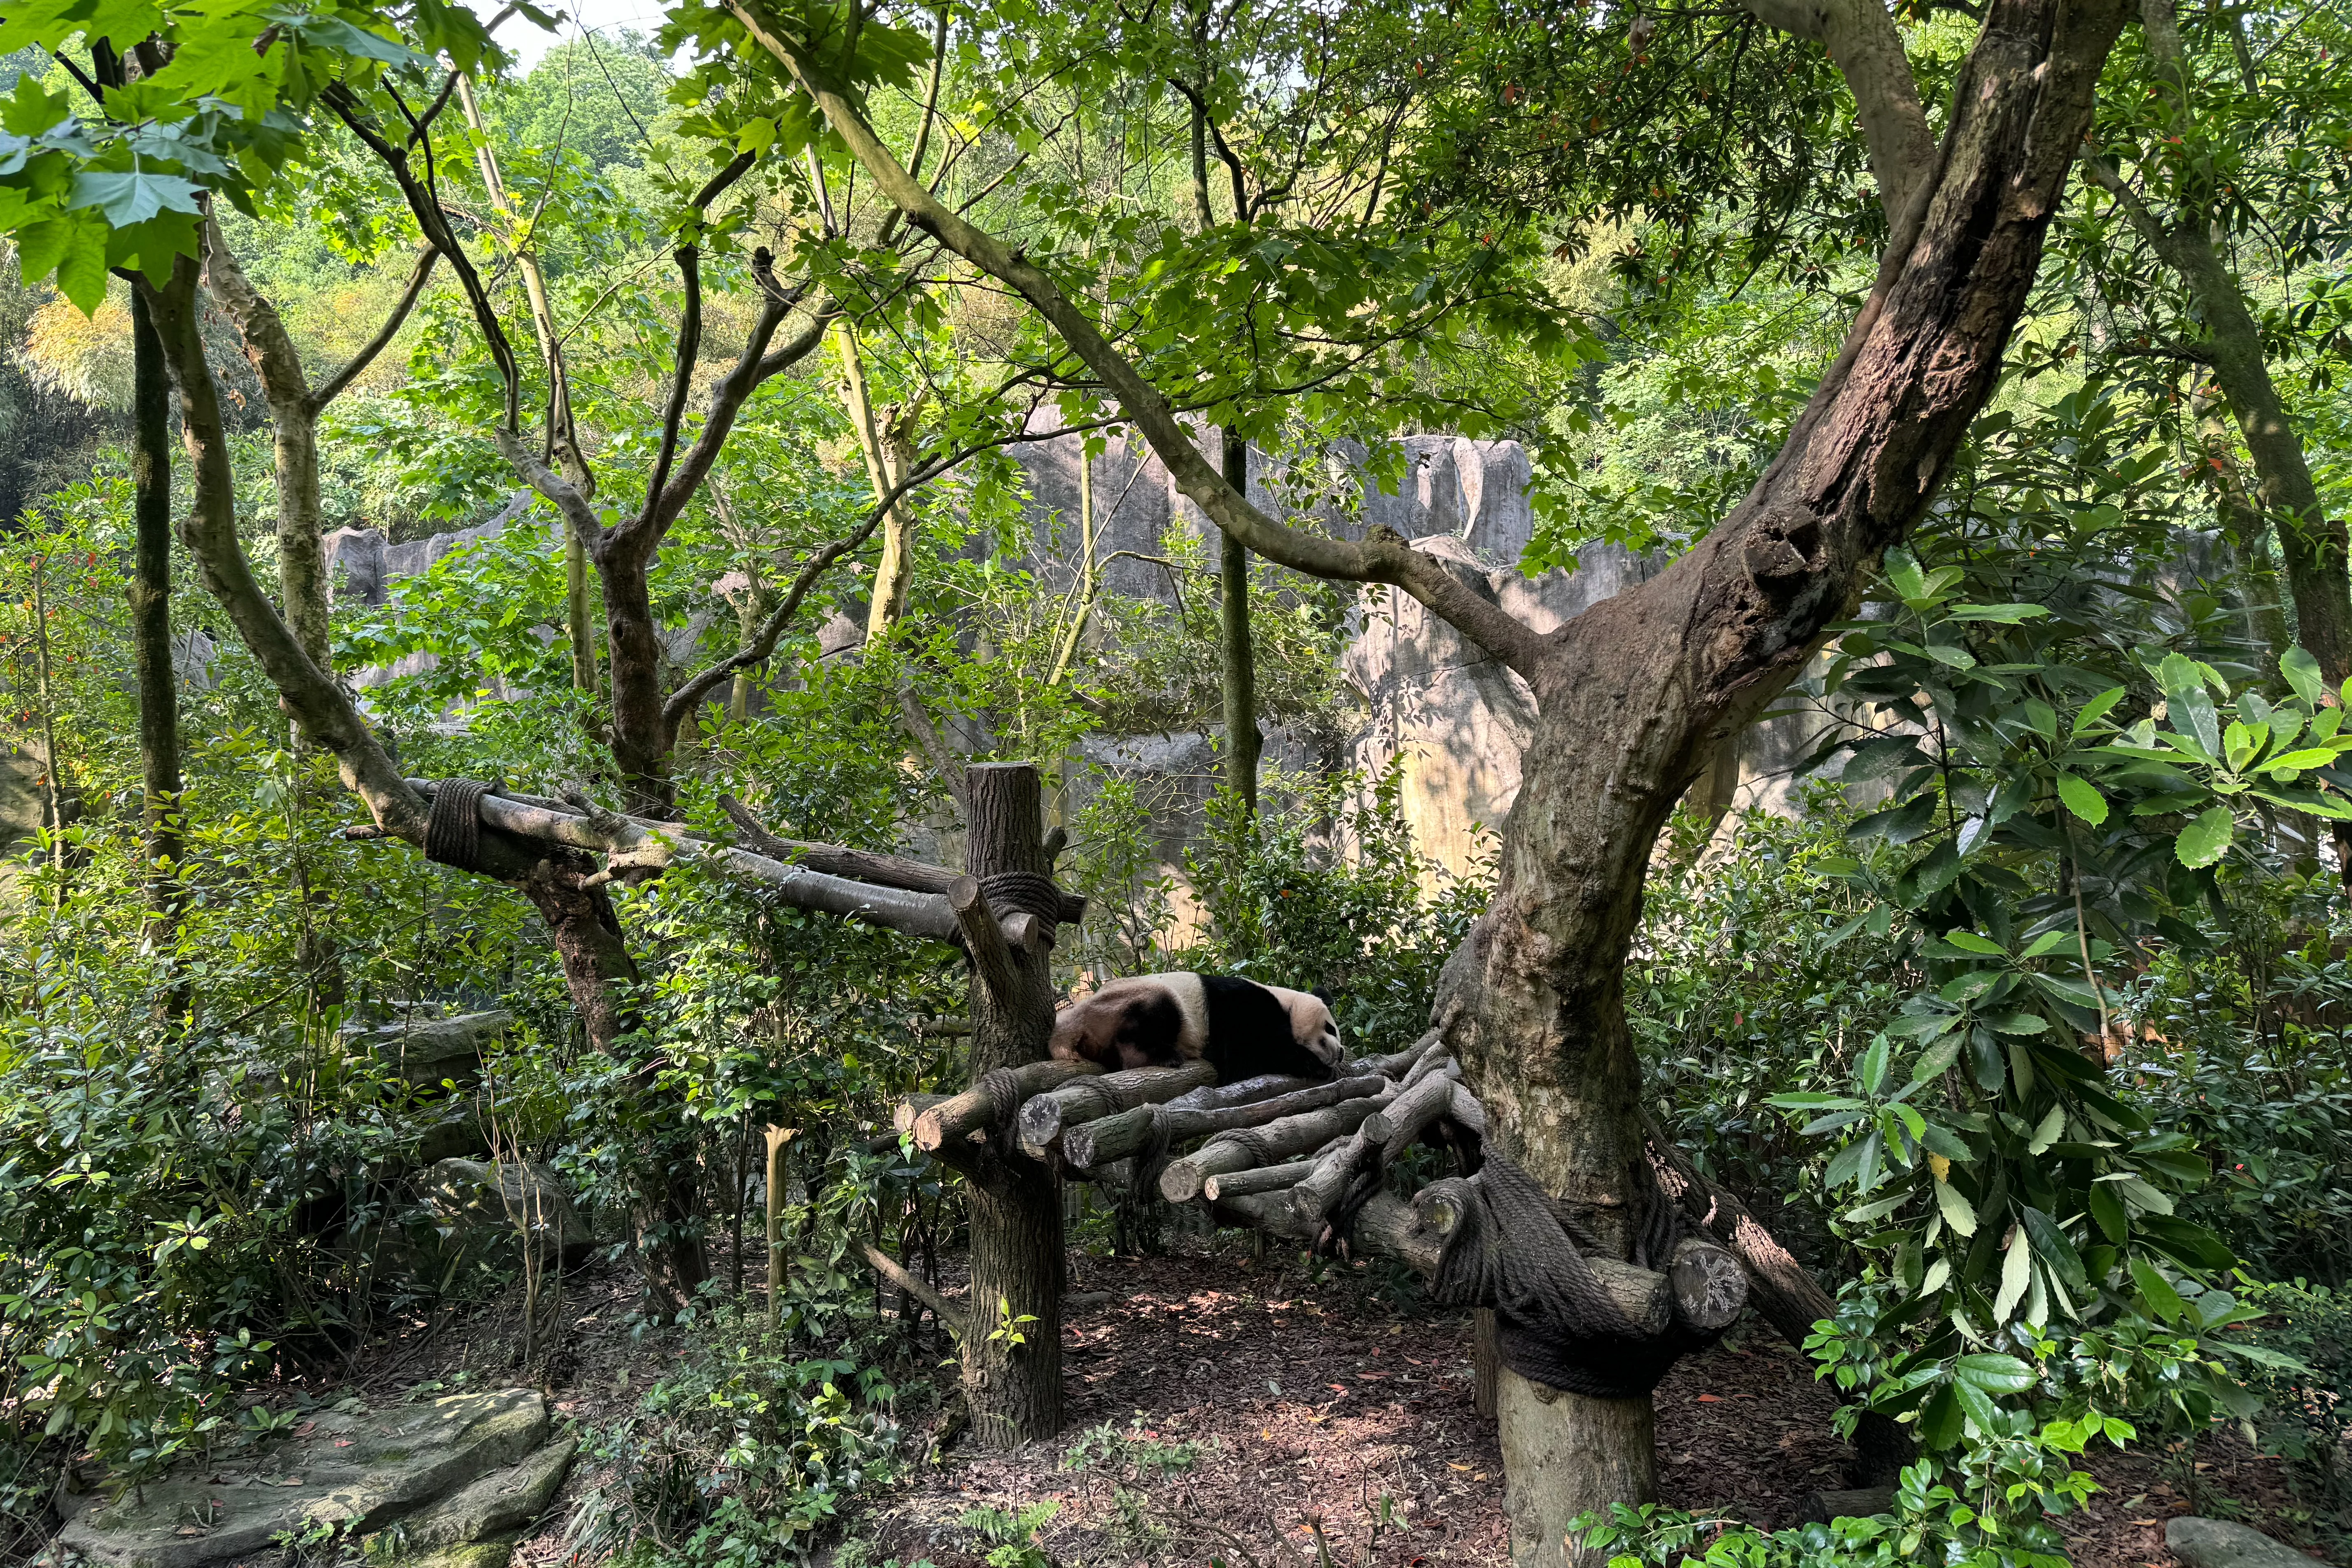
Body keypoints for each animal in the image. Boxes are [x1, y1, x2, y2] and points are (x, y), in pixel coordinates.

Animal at [1049, 972, 1343, 1083]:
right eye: (1329, 1029)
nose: (1340, 1053)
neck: (1286, 1003)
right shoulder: (1242, 1010)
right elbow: (1248, 1059)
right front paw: (1314, 1065)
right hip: (1121, 1004)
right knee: (1151, 1018)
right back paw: (1160, 1056)